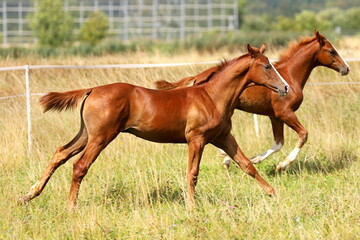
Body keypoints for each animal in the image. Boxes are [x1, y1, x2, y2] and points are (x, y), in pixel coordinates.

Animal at [155, 31, 348, 171]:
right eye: (332, 51)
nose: (346, 68)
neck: (290, 76)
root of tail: (197, 77)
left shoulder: (275, 116)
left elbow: (278, 143)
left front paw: (256, 159)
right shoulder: (285, 113)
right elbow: (303, 134)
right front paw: (282, 164)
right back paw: (225, 157)